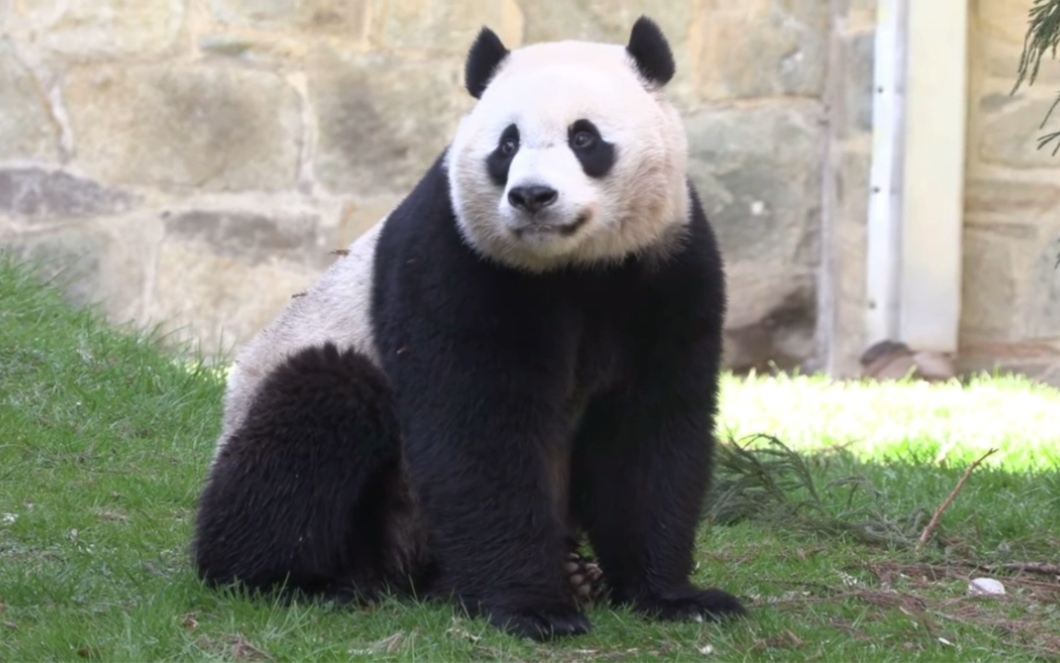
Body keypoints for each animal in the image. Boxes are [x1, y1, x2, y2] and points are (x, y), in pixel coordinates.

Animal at [192, 16, 746, 640]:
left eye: (584, 138)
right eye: (507, 144)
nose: (533, 196)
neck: (570, 266)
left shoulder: (664, 264)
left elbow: (648, 431)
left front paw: (675, 597)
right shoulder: (457, 258)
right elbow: (480, 428)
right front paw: (533, 608)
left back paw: (570, 572)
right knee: (315, 409)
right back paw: (302, 579)